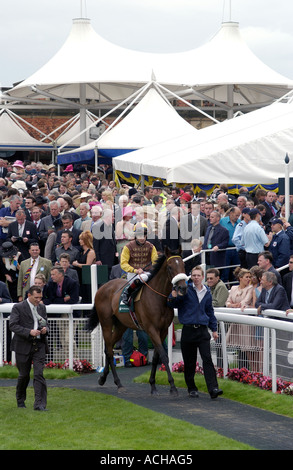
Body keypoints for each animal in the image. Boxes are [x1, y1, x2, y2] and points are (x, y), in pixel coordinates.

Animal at [87, 248, 187, 394]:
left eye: (183, 265)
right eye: (169, 267)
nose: (182, 288)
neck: (158, 298)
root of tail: (103, 287)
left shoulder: (163, 330)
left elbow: (156, 356)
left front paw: (152, 384)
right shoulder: (151, 329)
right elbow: (164, 355)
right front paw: (173, 386)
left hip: (121, 326)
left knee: (108, 347)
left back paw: (103, 378)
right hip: (106, 322)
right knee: (110, 350)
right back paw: (118, 383)